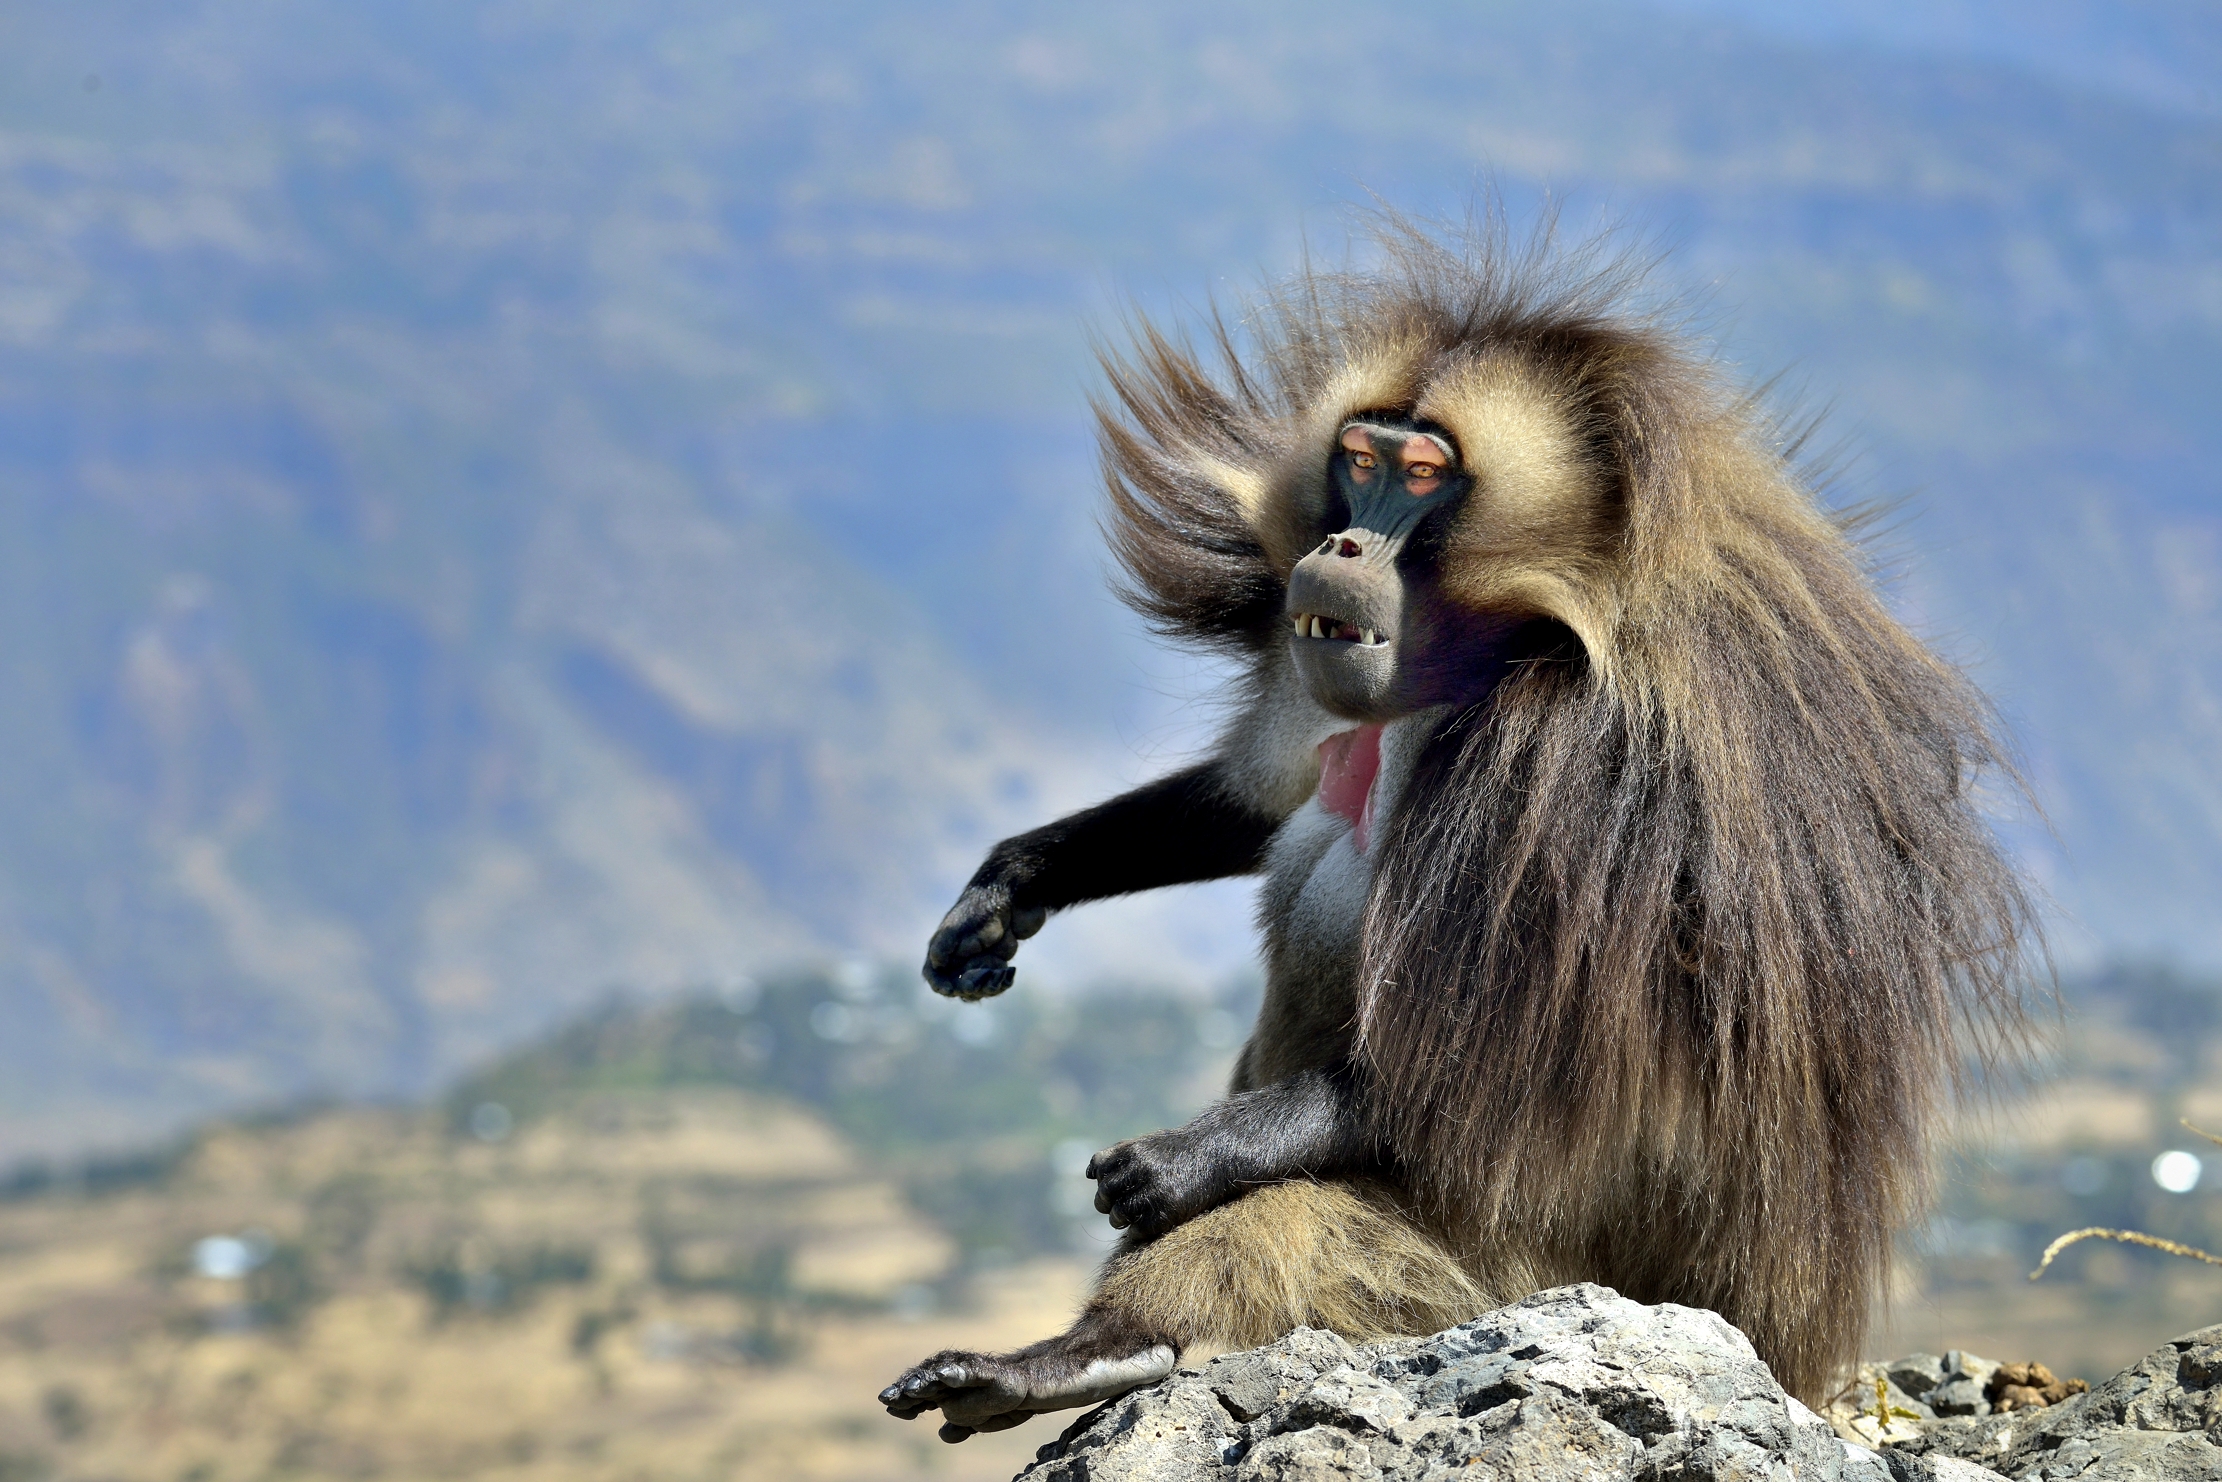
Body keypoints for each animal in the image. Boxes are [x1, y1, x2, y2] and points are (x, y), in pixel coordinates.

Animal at [879, 214, 2034, 1443]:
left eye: (1423, 476)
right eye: (1359, 458)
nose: (1339, 547)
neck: (1519, 633)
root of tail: (1790, 1345)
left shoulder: (1578, 766)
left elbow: (1463, 1081)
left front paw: (1184, 1161)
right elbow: (1259, 805)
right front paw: (1007, 889)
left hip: (1538, 1275)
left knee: (1307, 1216)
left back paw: (1093, 1350)